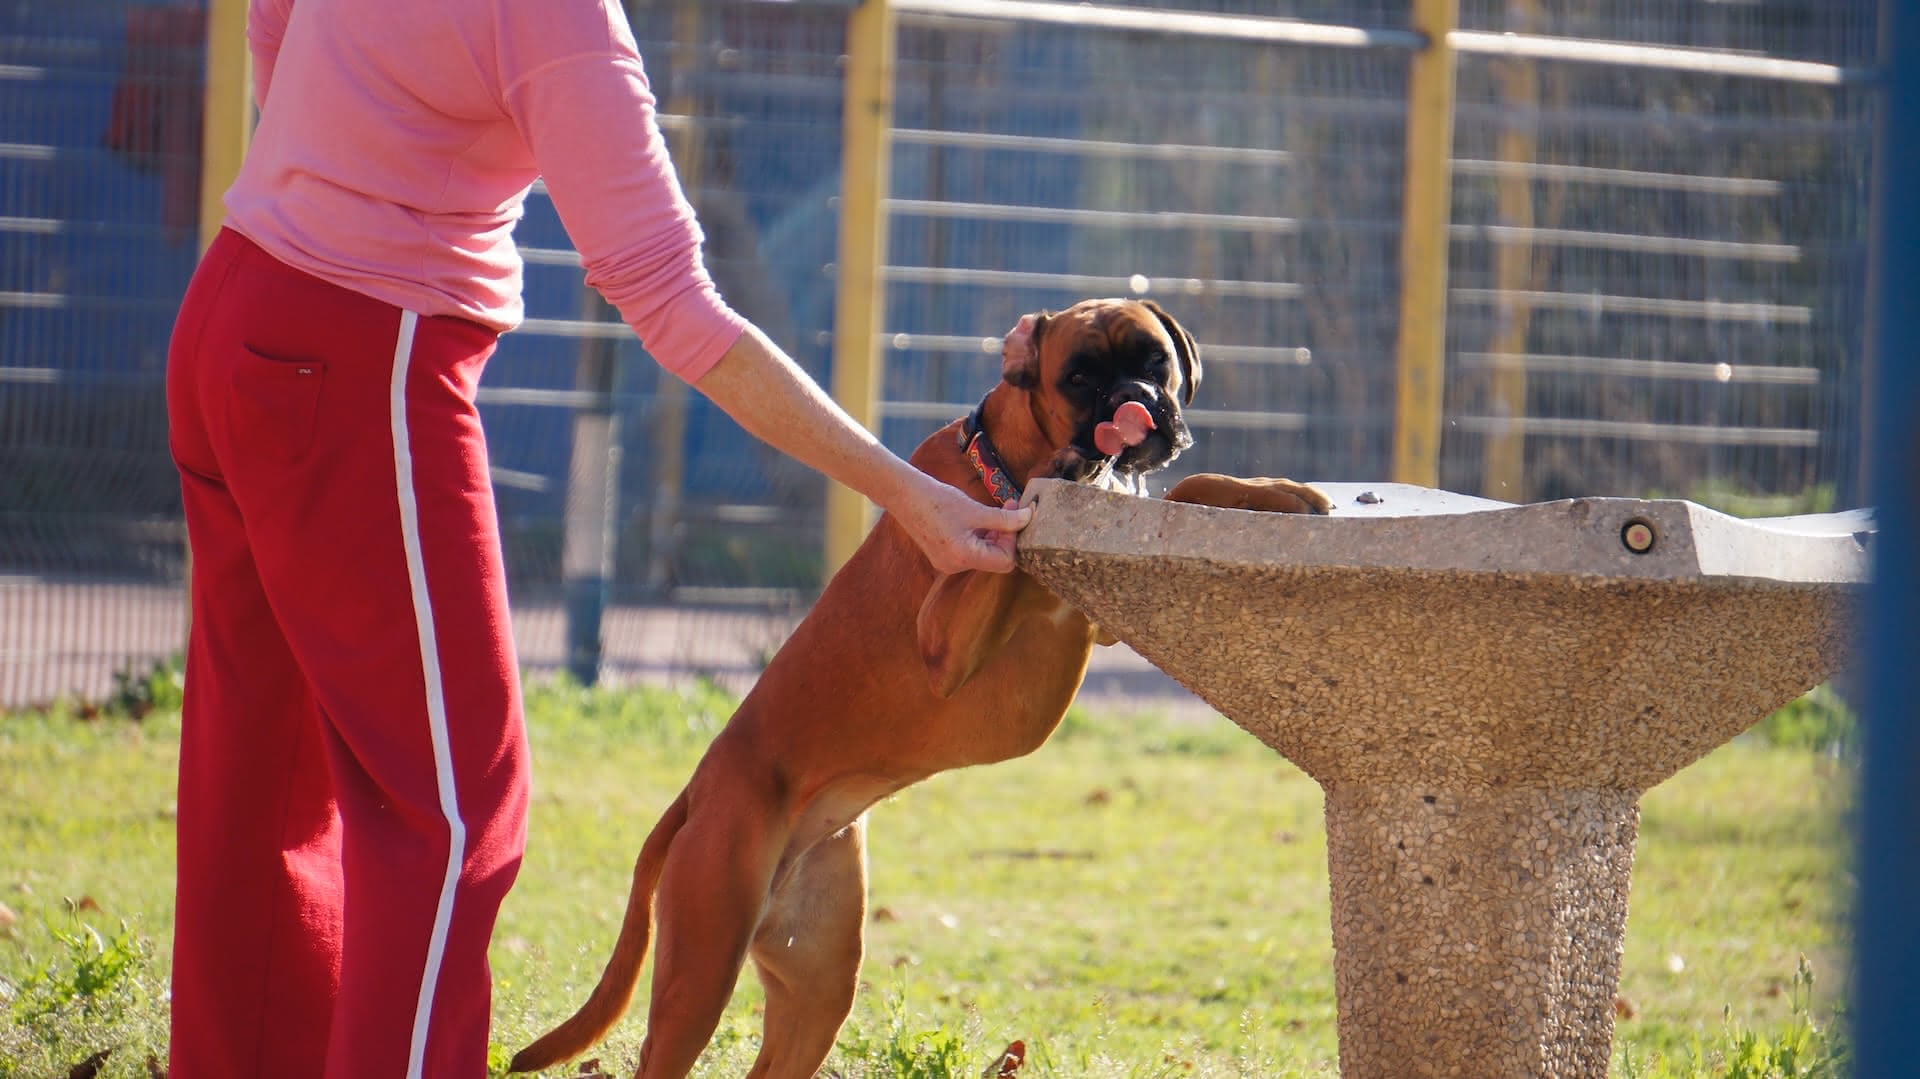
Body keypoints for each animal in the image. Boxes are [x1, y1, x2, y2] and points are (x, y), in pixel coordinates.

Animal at [510, 298, 1327, 1078]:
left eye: (1156, 362)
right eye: (1079, 378)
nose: (1135, 400)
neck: (1008, 455)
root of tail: (698, 790)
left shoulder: (1107, 604)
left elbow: (1188, 485)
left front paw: (1278, 494)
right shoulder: (947, 633)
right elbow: (1007, 541)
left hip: (818, 981)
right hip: (700, 973)